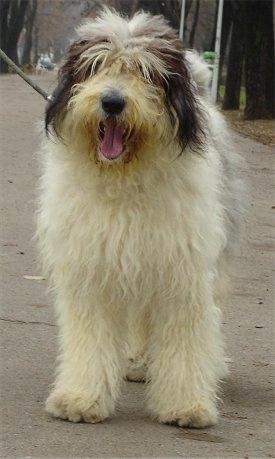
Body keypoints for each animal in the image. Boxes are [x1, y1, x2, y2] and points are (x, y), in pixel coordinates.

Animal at [37, 7, 244, 430]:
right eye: (97, 65)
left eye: (145, 71)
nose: (113, 102)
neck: (124, 178)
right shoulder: (94, 269)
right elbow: (91, 337)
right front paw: (81, 398)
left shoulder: (183, 270)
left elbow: (186, 336)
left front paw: (186, 404)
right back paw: (135, 361)